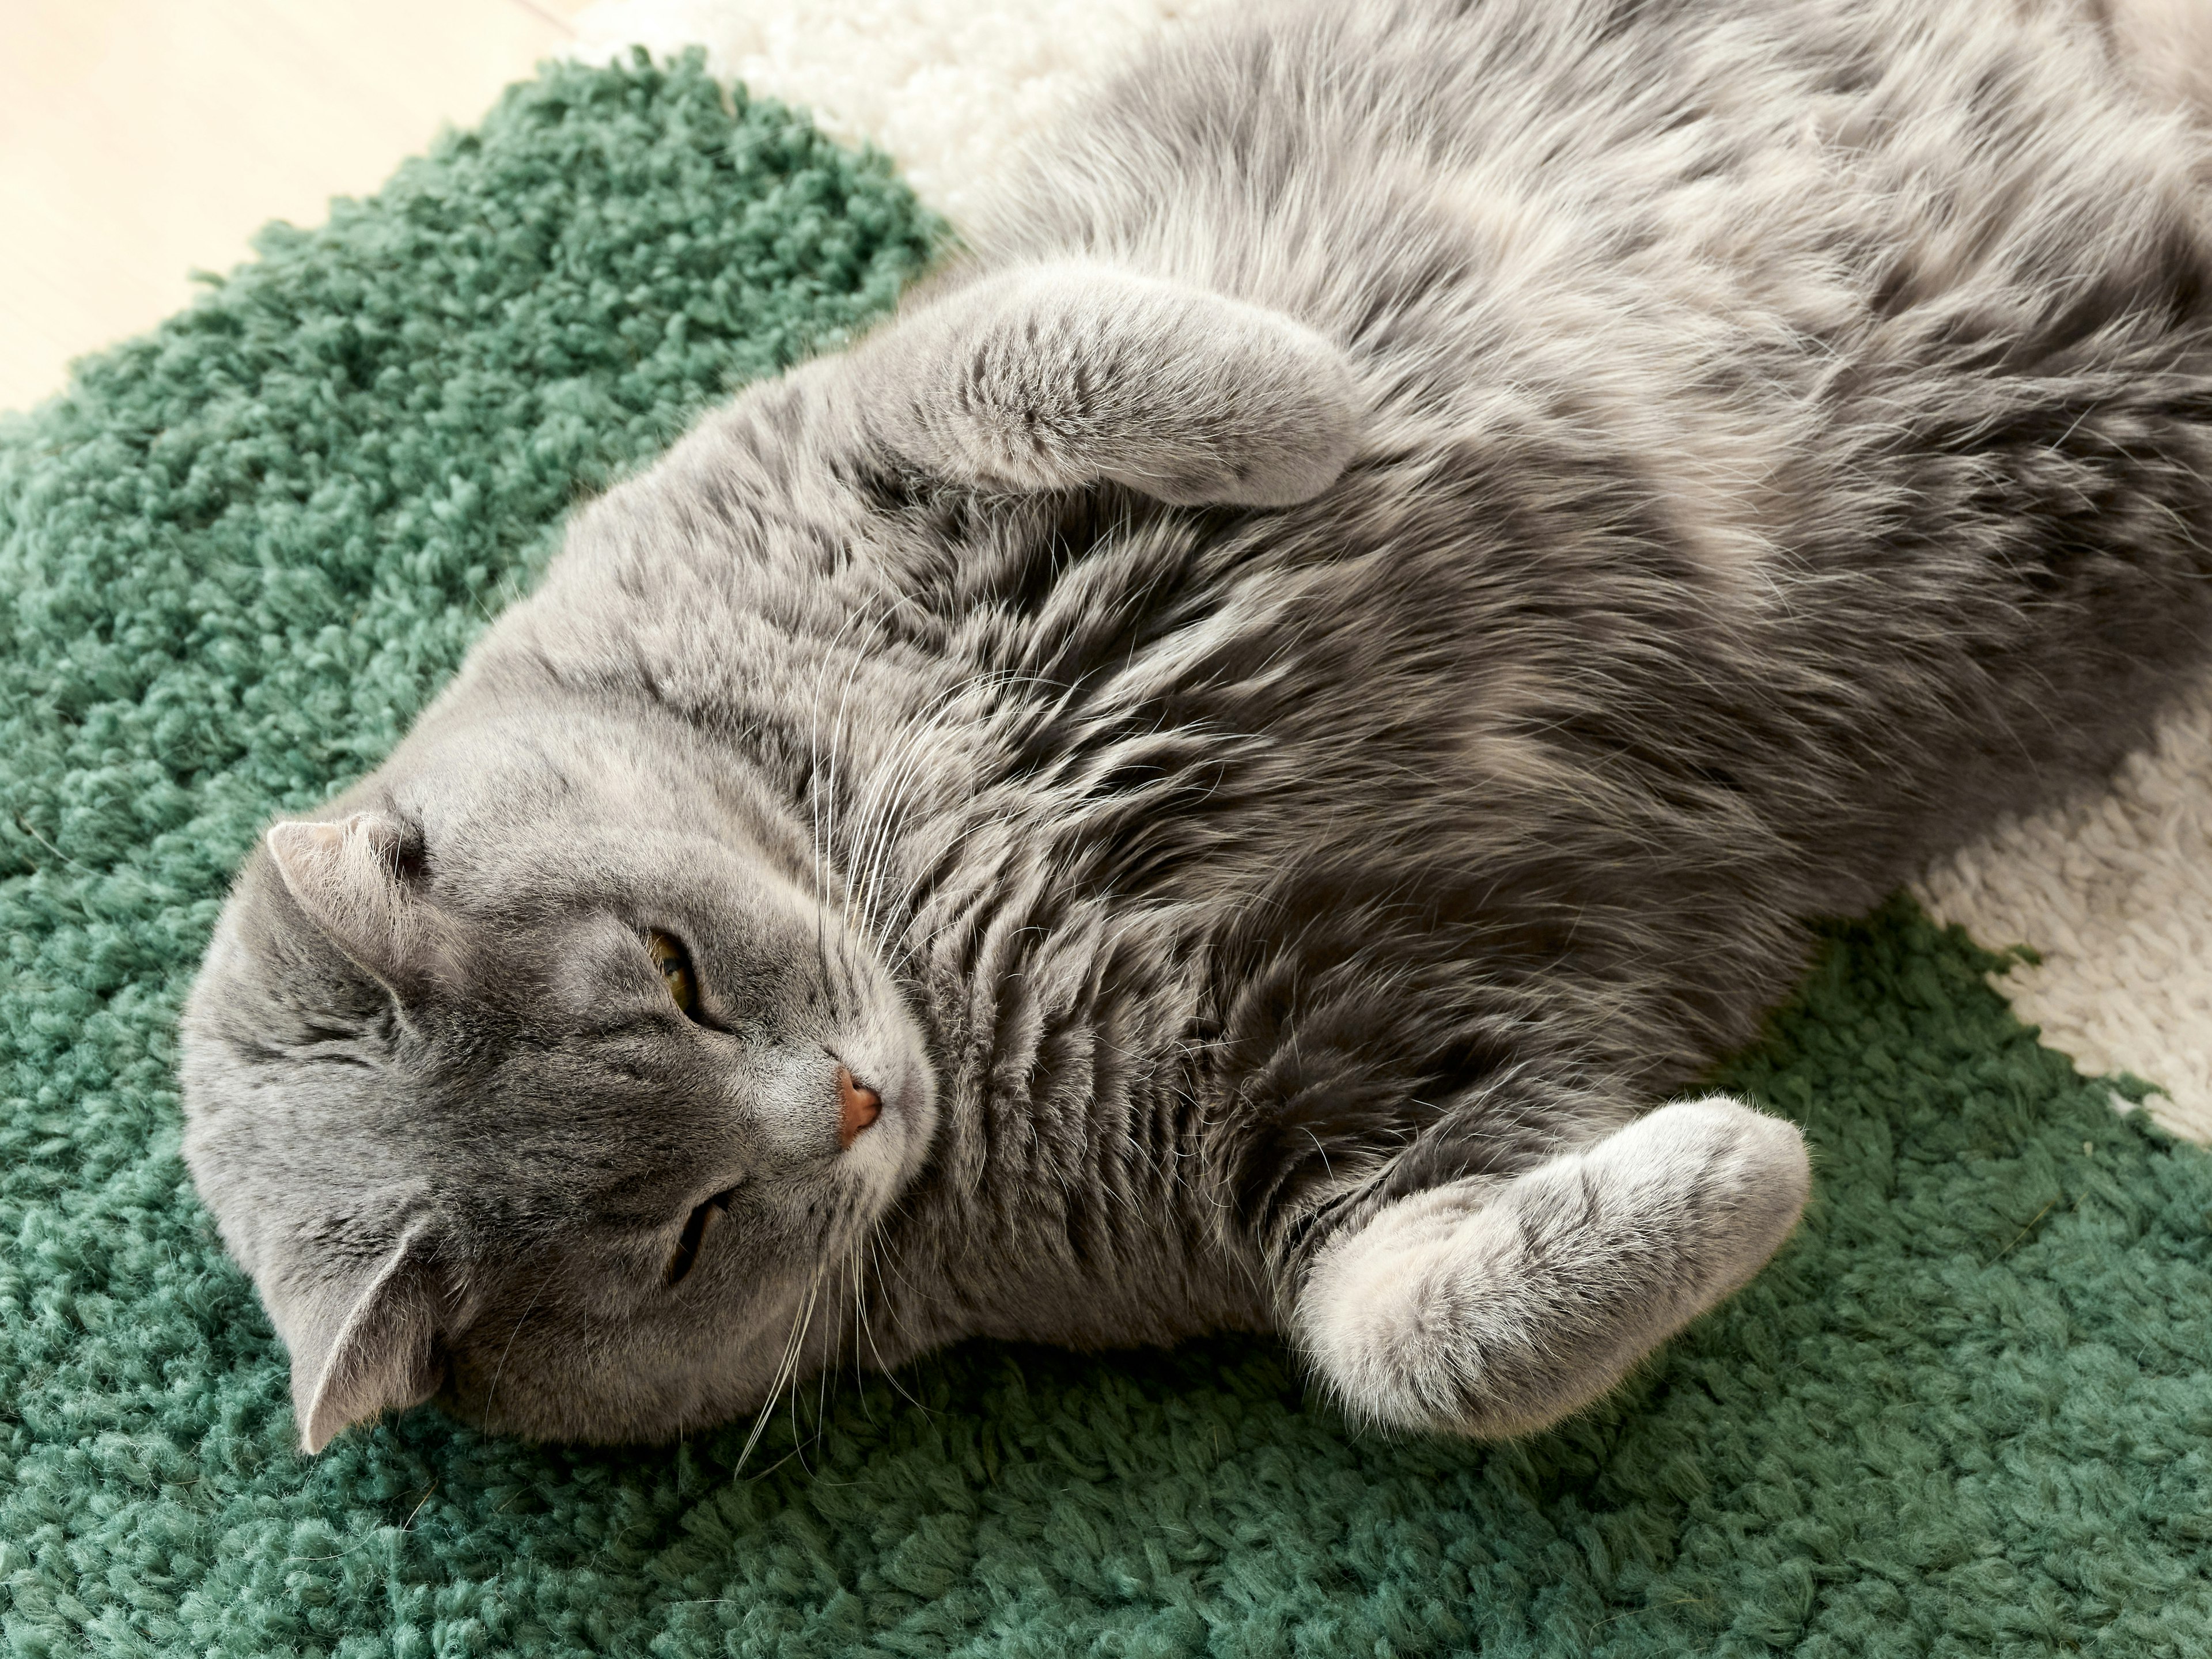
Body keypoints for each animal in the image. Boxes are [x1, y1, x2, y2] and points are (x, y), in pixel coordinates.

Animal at [177, 0, 2212, 1451]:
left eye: (674, 970)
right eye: (684, 1235)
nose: (848, 1100)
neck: (933, 914)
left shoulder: (862, 403)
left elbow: (1054, 354)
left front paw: (1318, 412)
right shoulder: (1344, 1103)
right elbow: (1413, 1350)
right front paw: (1747, 1164)